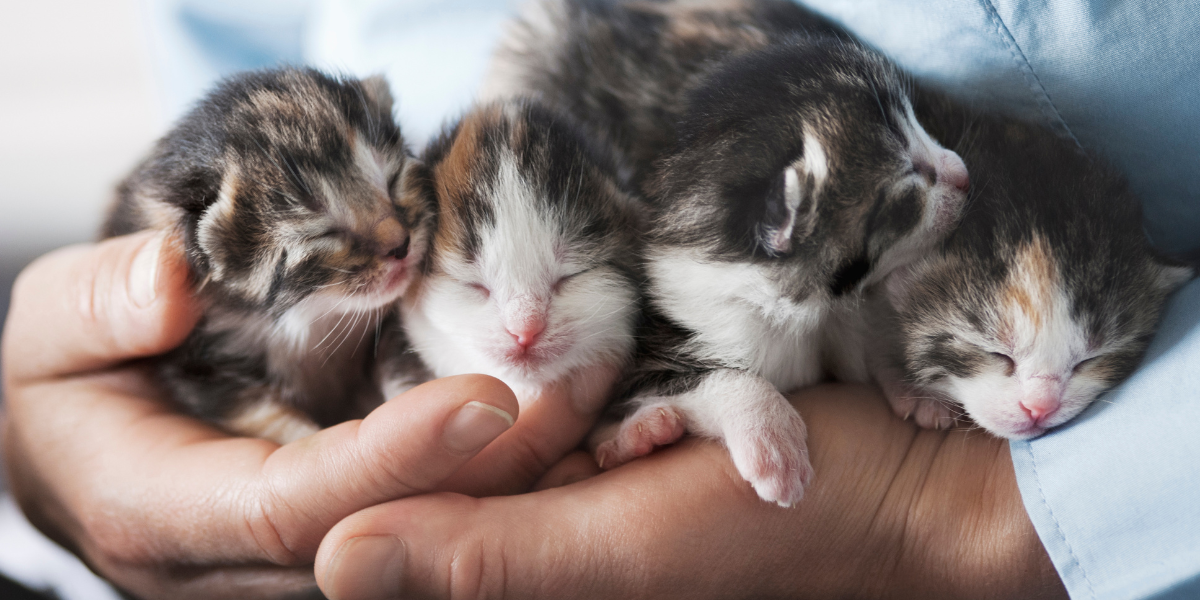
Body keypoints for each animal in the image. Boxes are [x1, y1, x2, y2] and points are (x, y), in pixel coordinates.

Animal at [103, 68, 432, 444]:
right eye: (325, 232)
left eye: (392, 181)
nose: (402, 245)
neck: (311, 317)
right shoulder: (195, 362)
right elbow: (252, 409)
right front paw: (301, 435)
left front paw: (408, 387)